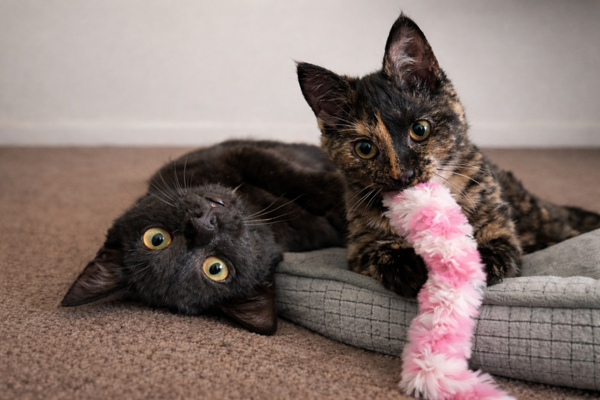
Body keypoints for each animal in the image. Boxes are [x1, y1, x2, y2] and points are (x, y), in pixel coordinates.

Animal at [61, 140, 346, 335]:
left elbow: (279, 172)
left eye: (155, 238)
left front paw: (337, 189)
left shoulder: (232, 154)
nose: (203, 225)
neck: (253, 206)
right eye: (216, 268)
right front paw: (340, 193)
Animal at [297, 13, 600, 298]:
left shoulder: (500, 229)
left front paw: (468, 266)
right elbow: (380, 252)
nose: (403, 175)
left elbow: (497, 250)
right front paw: (411, 269)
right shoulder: (359, 244)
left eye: (420, 129)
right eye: (365, 149)